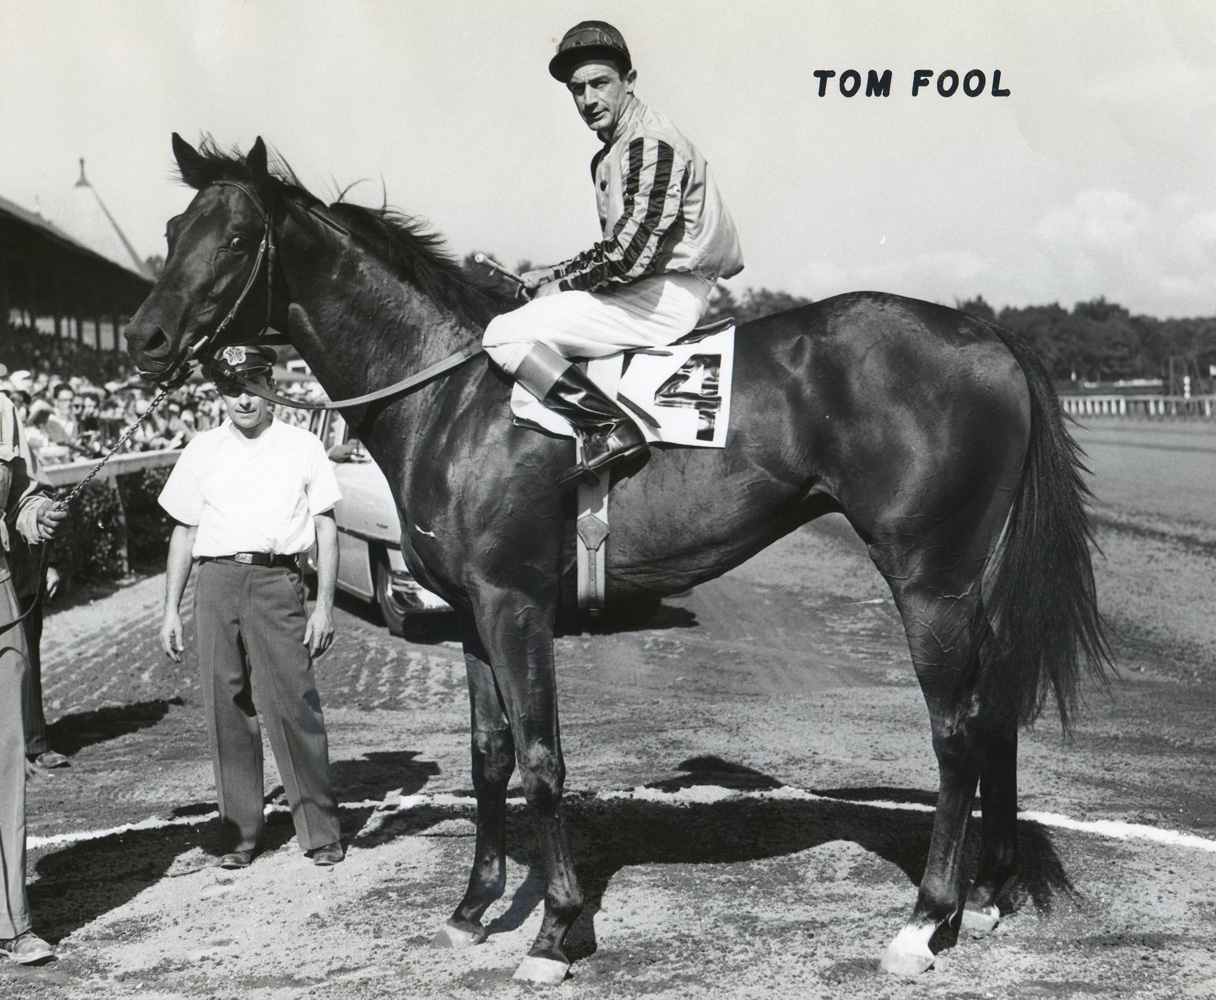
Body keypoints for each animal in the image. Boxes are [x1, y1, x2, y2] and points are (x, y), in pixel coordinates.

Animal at [125, 135, 1113, 987]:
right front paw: (474, 908)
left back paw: (924, 920)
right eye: (172, 232)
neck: (454, 396)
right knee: (995, 713)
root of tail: (989, 338)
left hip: (928, 578)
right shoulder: (471, 614)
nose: (143, 340)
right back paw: (988, 893)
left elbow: (542, 760)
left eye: (239, 237)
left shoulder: (515, 603)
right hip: (970, 582)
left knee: (956, 729)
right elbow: (489, 756)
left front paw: (557, 932)